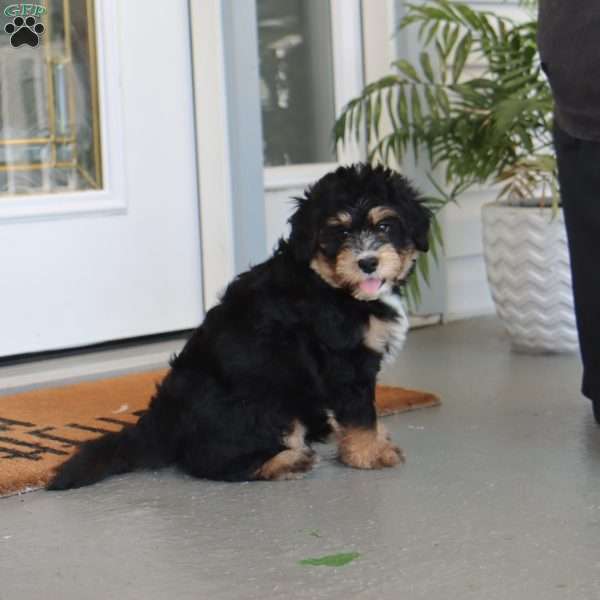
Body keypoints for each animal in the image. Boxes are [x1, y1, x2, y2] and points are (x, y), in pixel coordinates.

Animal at [47, 163, 432, 488]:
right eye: (339, 233)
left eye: (384, 226)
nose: (367, 262)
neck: (332, 286)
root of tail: (162, 422)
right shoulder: (345, 362)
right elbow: (361, 413)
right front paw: (371, 454)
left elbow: (369, 413)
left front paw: (376, 442)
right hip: (270, 403)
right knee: (210, 461)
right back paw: (286, 462)